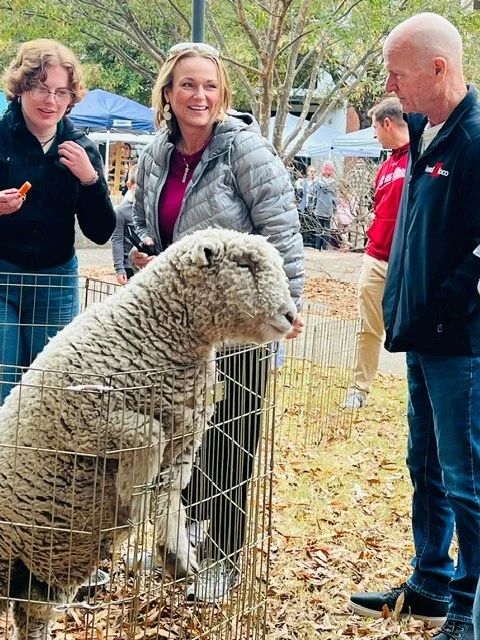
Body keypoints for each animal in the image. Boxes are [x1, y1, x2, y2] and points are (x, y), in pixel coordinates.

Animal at [0, 228, 297, 640]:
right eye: (244, 264)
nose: (291, 316)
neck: (152, 329)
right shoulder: (84, 419)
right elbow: (149, 434)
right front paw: (132, 496)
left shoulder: (184, 444)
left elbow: (170, 497)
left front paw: (176, 557)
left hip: (38, 573)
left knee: (31, 616)